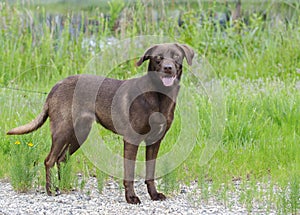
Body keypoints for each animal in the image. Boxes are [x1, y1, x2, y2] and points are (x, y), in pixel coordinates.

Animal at [7, 42, 195, 204]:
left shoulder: (155, 142)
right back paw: (51, 190)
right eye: (158, 58)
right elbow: (130, 173)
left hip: (79, 134)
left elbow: (151, 173)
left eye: (176, 56)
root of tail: (56, 86)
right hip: (62, 131)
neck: (159, 96)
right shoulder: (131, 140)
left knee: (61, 159)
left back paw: (64, 186)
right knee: (49, 160)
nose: (168, 68)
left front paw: (154, 195)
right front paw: (131, 198)